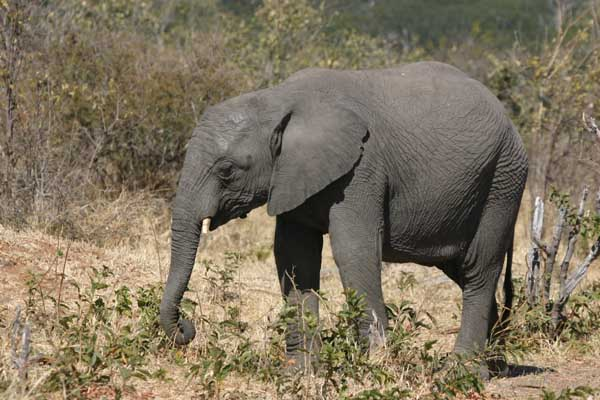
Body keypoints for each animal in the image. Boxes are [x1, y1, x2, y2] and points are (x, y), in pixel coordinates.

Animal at [161, 61, 528, 376]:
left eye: (226, 170)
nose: (187, 329)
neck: (278, 99)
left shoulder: (362, 169)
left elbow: (353, 250)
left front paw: (374, 366)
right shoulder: (293, 176)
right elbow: (294, 258)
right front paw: (299, 374)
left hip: (503, 180)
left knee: (479, 268)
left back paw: (464, 372)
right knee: (462, 269)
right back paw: (494, 366)